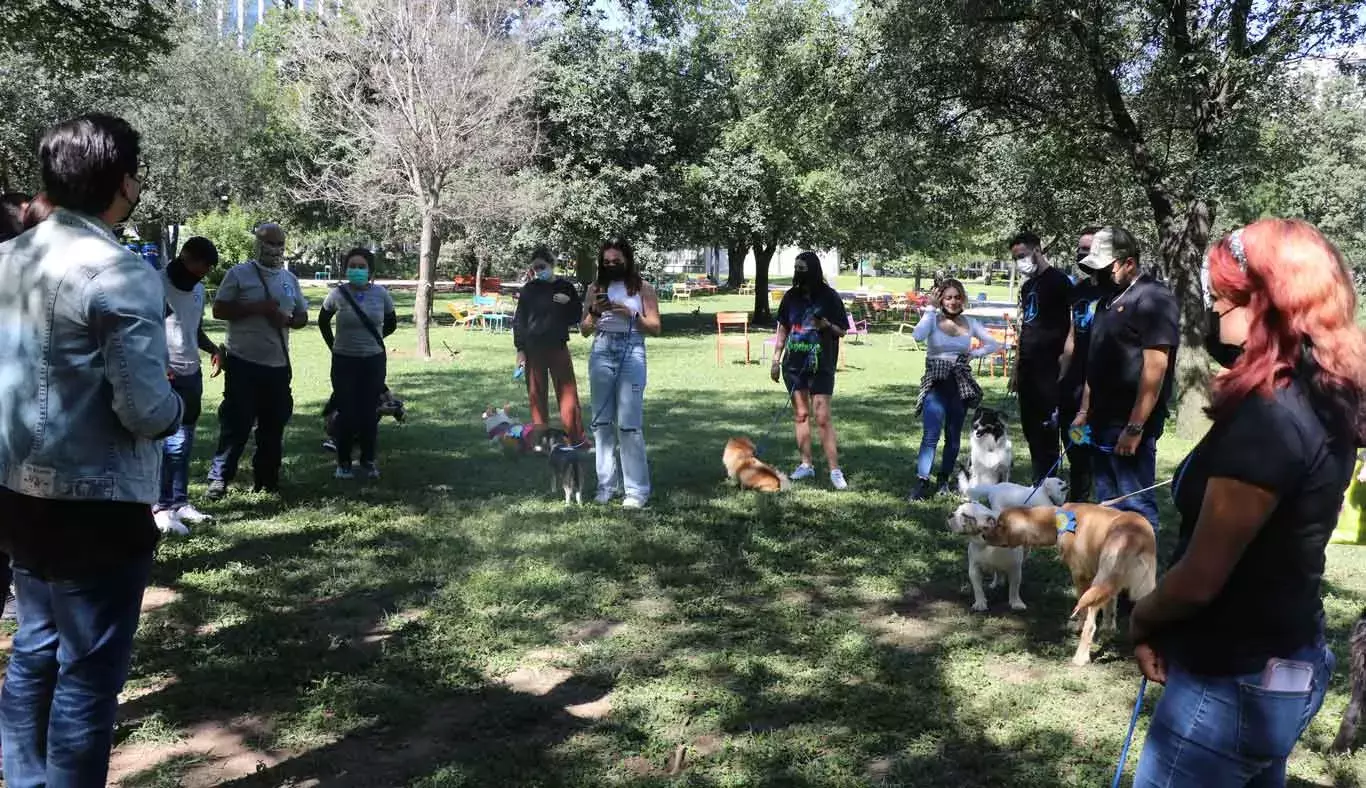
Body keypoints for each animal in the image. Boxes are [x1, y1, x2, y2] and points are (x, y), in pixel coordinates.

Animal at [978, 502, 1158, 663]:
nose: (984, 536)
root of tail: (1133, 535)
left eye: (1000, 524)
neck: (1056, 519)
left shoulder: (1080, 575)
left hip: (1099, 582)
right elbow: (1110, 607)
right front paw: (1109, 629)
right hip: (1143, 588)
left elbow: (1083, 612)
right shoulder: (1109, 582)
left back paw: (1080, 658)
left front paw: (1079, 626)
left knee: (1090, 625)